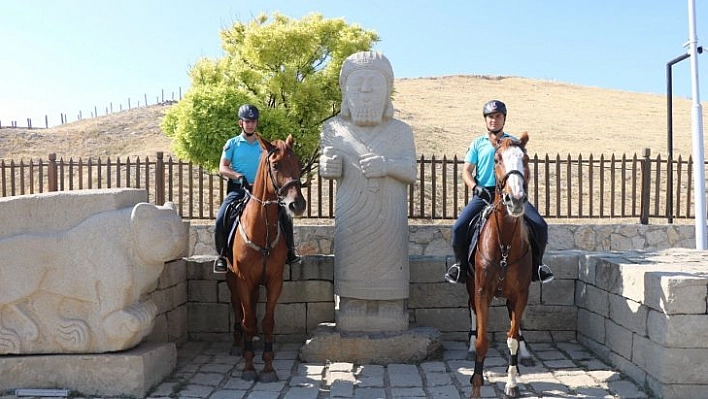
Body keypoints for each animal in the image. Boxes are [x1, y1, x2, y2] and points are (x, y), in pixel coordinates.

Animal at [225, 135, 306, 384]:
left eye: (298, 163)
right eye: (276, 165)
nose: (297, 204)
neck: (261, 229)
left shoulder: (274, 280)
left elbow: (268, 321)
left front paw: (268, 366)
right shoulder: (243, 279)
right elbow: (248, 320)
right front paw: (249, 365)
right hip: (231, 277)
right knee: (238, 306)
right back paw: (238, 343)